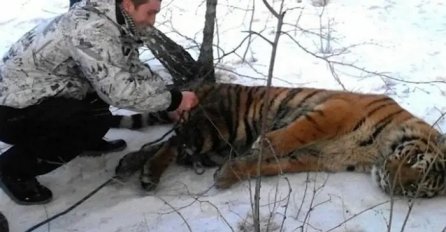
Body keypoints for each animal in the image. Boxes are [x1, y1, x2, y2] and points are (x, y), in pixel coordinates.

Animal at [117, 83, 446, 198]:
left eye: (418, 189)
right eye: (414, 159)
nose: (391, 183)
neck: (374, 154)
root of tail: (207, 85)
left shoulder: (315, 157)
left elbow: (266, 166)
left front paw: (228, 175)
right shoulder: (337, 109)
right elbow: (299, 132)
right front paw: (266, 143)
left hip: (218, 146)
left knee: (168, 145)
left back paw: (131, 166)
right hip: (216, 129)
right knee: (173, 142)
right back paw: (146, 173)